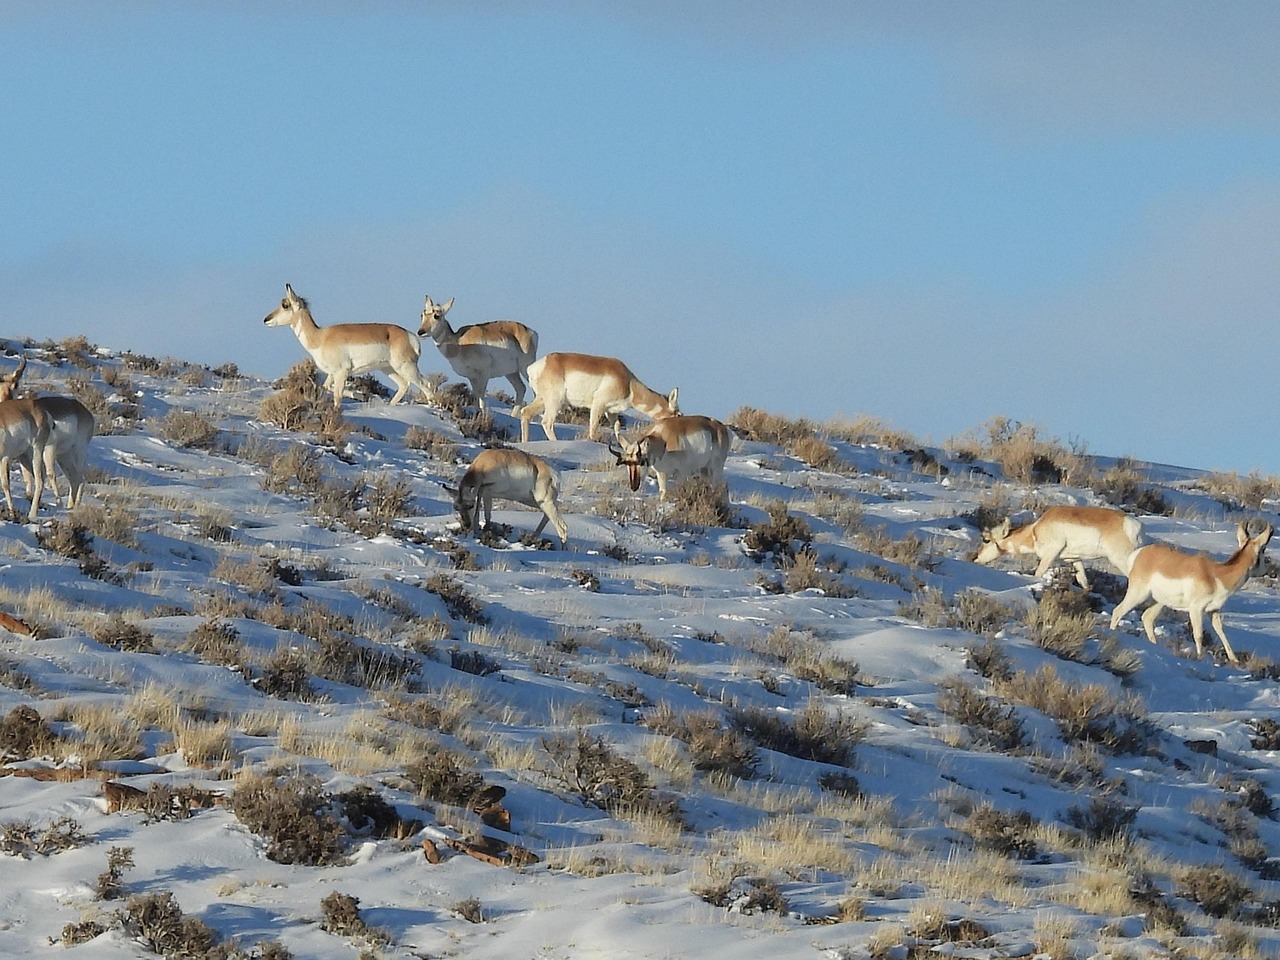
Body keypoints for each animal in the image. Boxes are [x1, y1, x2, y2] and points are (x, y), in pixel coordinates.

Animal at [0, 356, 95, 508]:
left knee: (80, 477)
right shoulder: (23, 455)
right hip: (64, 456)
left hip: (77, 451)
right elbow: (28, 477)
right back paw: (70, 506)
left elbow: (47, 474)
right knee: (74, 477)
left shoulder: (44, 450)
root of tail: (83, 410)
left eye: (16, 384)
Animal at [263, 283, 434, 409]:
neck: (320, 337)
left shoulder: (341, 372)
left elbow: (337, 396)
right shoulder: (332, 374)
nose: (266, 319)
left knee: (426, 385)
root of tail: (410, 336)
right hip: (388, 369)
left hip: (406, 368)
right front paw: (359, 395)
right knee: (404, 385)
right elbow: (327, 387)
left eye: (285, 304)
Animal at [519, 352, 679, 444]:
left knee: (525, 413)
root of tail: (538, 365)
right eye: (677, 413)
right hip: (554, 402)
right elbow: (593, 426)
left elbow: (617, 428)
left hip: (542, 401)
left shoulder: (611, 412)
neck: (629, 384)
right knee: (547, 422)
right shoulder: (598, 405)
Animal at [973, 505, 1143, 591]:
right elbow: (1083, 581)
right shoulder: (1074, 559)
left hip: (1122, 561)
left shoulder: (1050, 554)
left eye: (986, 540)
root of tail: (1133, 525)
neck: (1034, 530)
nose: (974, 558)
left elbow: (1038, 573)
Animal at [1109, 520, 1273, 664]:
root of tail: (1140, 553)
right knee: (1118, 611)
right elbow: (1198, 634)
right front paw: (1200, 657)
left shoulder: (1213, 610)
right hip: (1138, 595)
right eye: (1263, 549)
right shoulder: (1196, 610)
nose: (1266, 570)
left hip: (1160, 602)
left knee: (1147, 617)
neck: (1217, 575)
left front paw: (1234, 660)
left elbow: (1221, 631)